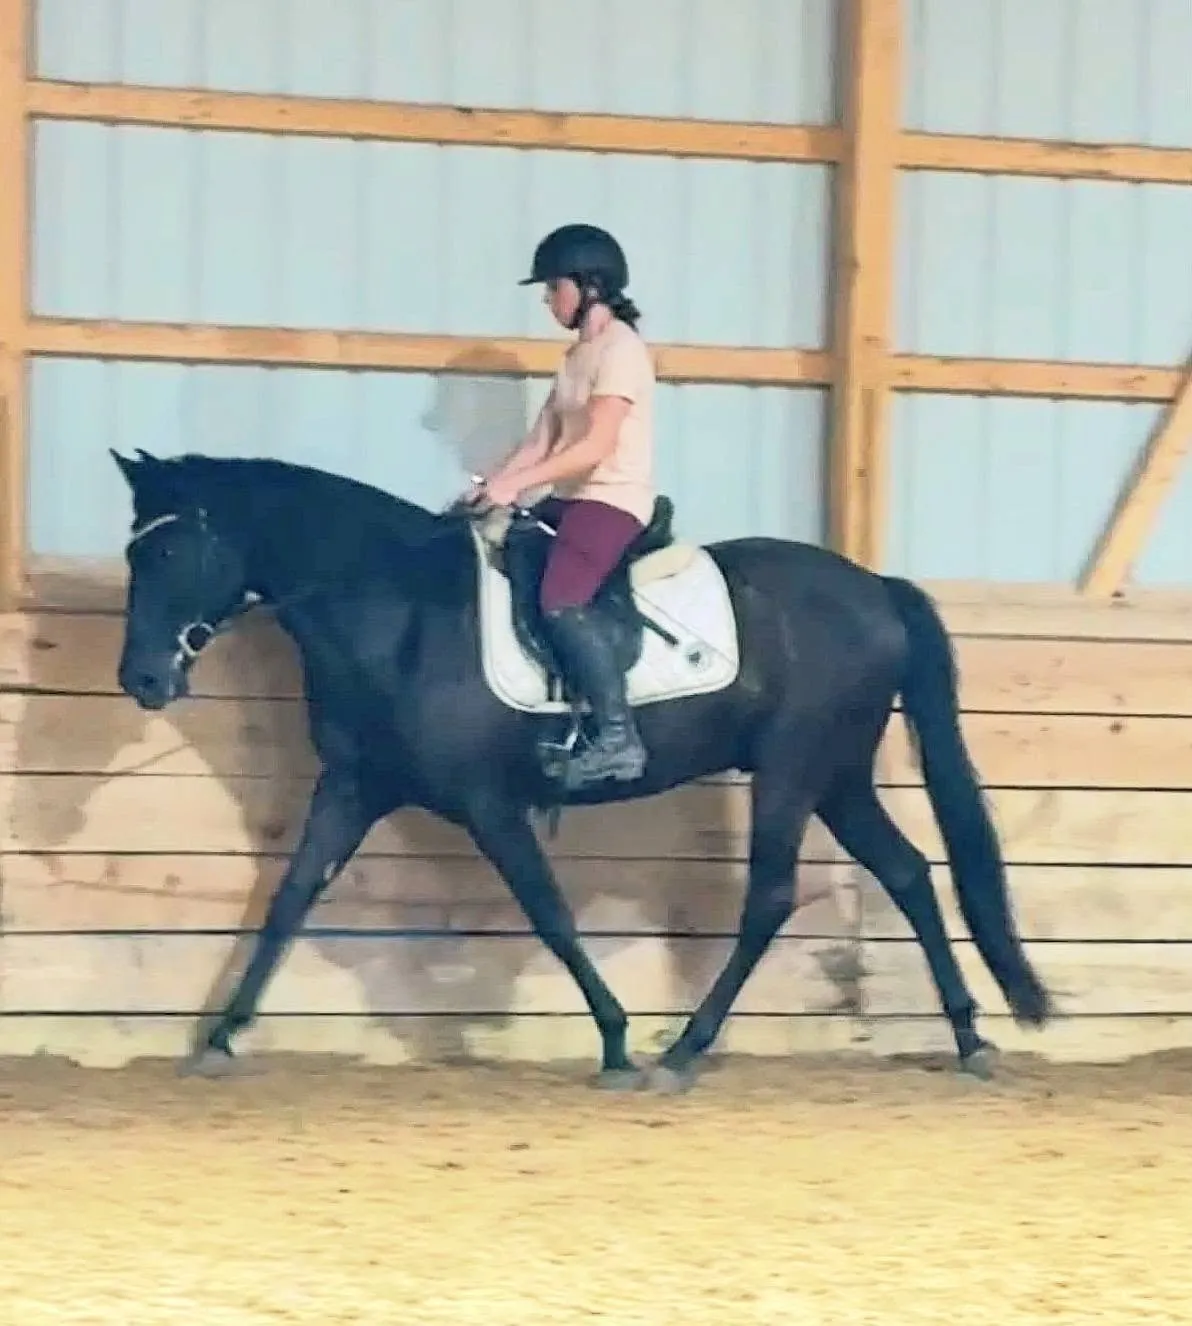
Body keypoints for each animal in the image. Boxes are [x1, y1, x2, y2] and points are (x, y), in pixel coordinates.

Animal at [108, 447, 1053, 1092]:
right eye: (132, 554)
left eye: (168, 554)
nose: (142, 681)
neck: (398, 611)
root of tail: (875, 588)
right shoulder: (351, 787)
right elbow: (290, 899)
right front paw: (219, 1037)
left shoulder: (488, 804)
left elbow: (552, 915)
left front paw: (615, 1042)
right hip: (839, 776)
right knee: (910, 873)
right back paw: (969, 1038)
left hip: (793, 768)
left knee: (773, 897)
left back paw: (684, 1052)